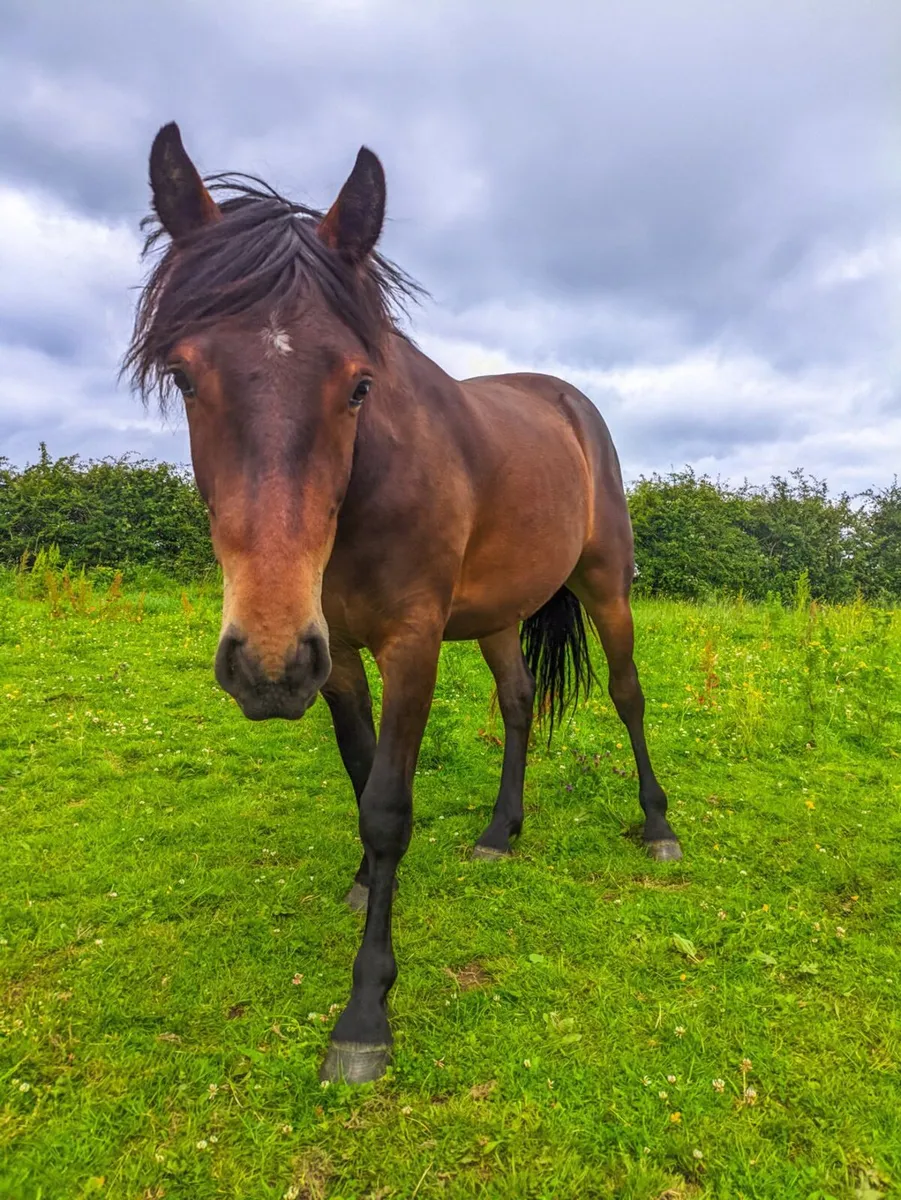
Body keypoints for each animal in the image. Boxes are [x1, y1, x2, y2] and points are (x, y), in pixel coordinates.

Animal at [123, 123, 682, 1084]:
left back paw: (655, 826)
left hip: (607, 587)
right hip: (495, 618)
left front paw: (363, 1015)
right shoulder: (336, 652)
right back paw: (500, 832)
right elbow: (360, 777)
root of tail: (568, 402)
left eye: (358, 383)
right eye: (186, 377)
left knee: (626, 695)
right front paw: (360, 884)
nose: (263, 664)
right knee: (518, 702)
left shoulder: (411, 643)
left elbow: (388, 804)